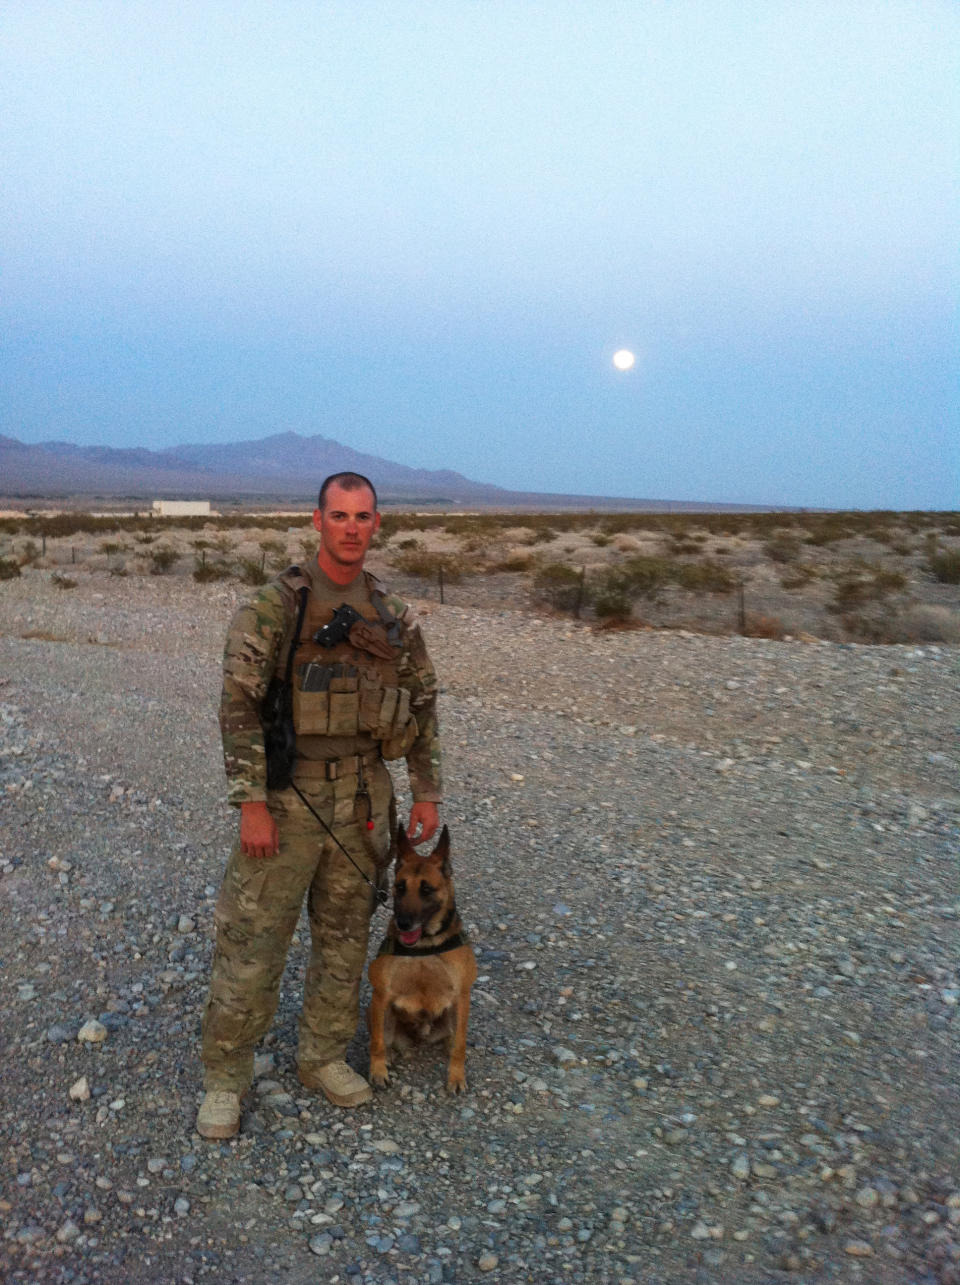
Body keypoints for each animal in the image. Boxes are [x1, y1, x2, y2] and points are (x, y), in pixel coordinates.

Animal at [367, 822, 478, 1094]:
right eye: (400, 887)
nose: (403, 923)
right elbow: (377, 1042)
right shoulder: (381, 996)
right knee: (383, 1038)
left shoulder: (461, 997)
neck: (425, 944)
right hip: (377, 1011)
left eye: (426, 889)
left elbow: (460, 1045)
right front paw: (378, 1070)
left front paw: (456, 1077)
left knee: (454, 1039)